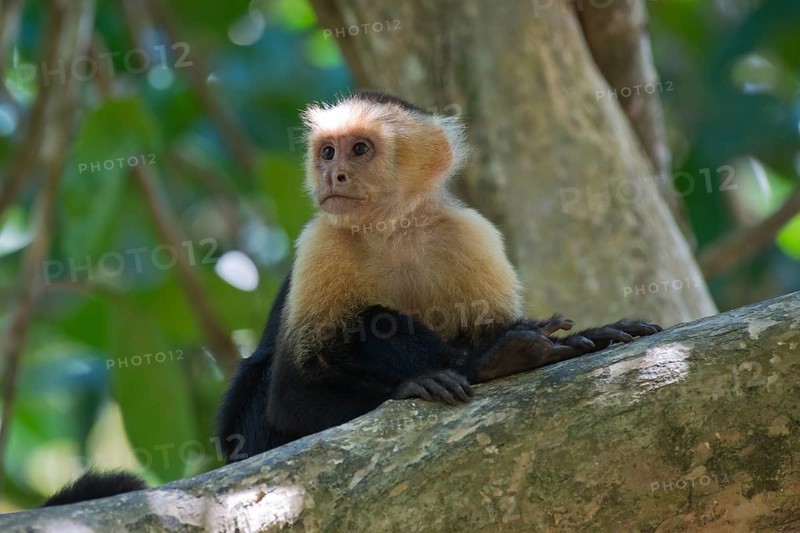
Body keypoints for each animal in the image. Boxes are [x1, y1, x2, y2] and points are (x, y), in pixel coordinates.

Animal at [41, 91, 660, 505]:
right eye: (328, 152)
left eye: (360, 149)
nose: (333, 174)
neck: (392, 229)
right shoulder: (321, 242)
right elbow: (290, 395)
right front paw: (423, 382)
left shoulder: (471, 234)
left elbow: (495, 317)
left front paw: (584, 336)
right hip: (250, 439)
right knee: (368, 324)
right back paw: (489, 363)